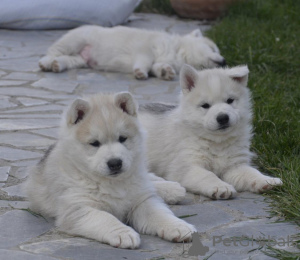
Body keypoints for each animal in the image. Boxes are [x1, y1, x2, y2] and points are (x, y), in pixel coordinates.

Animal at [24, 92, 196, 249]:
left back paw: (171, 188)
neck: (112, 183)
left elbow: (159, 213)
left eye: (122, 138)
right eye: (94, 143)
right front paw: (122, 233)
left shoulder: (142, 201)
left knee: (150, 180)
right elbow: (104, 217)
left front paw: (178, 226)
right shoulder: (78, 209)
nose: (115, 163)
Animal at [38, 26, 225, 80]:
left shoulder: (162, 59)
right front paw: (140, 72)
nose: (224, 61)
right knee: (54, 51)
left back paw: (57, 65)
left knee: (67, 59)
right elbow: (146, 60)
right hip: (77, 39)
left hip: (80, 59)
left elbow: (158, 66)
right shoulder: (147, 47)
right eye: (213, 49)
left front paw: (166, 72)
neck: (178, 50)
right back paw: (46, 62)